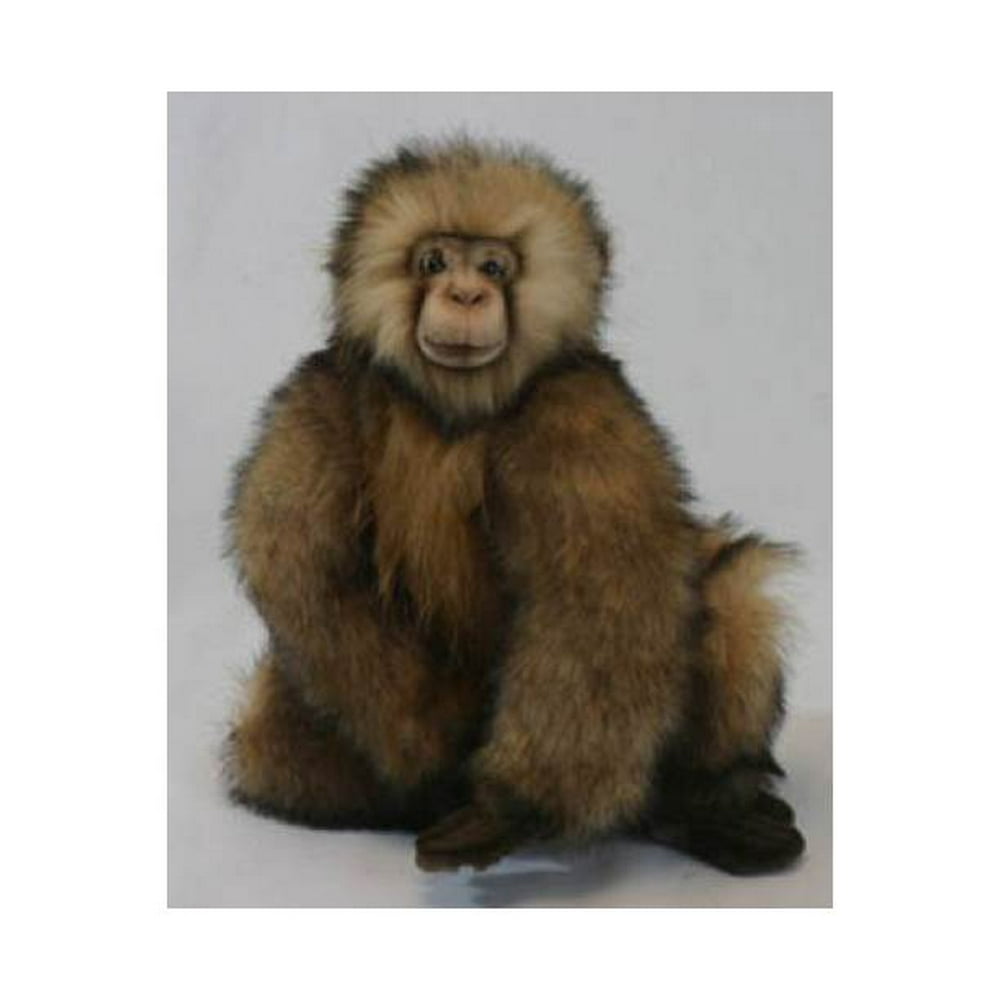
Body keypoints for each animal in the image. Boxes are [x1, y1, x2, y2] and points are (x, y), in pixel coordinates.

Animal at [223, 139, 806, 876]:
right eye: (435, 262)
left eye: (494, 267)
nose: (467, 293)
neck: (453, 411)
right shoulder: (318, 391)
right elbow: (304, 565)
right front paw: (439, 760)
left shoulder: (582, 407)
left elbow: (597, 599)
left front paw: (512, 808)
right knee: (271, 740)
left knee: (730, 588)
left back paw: (703, 804)